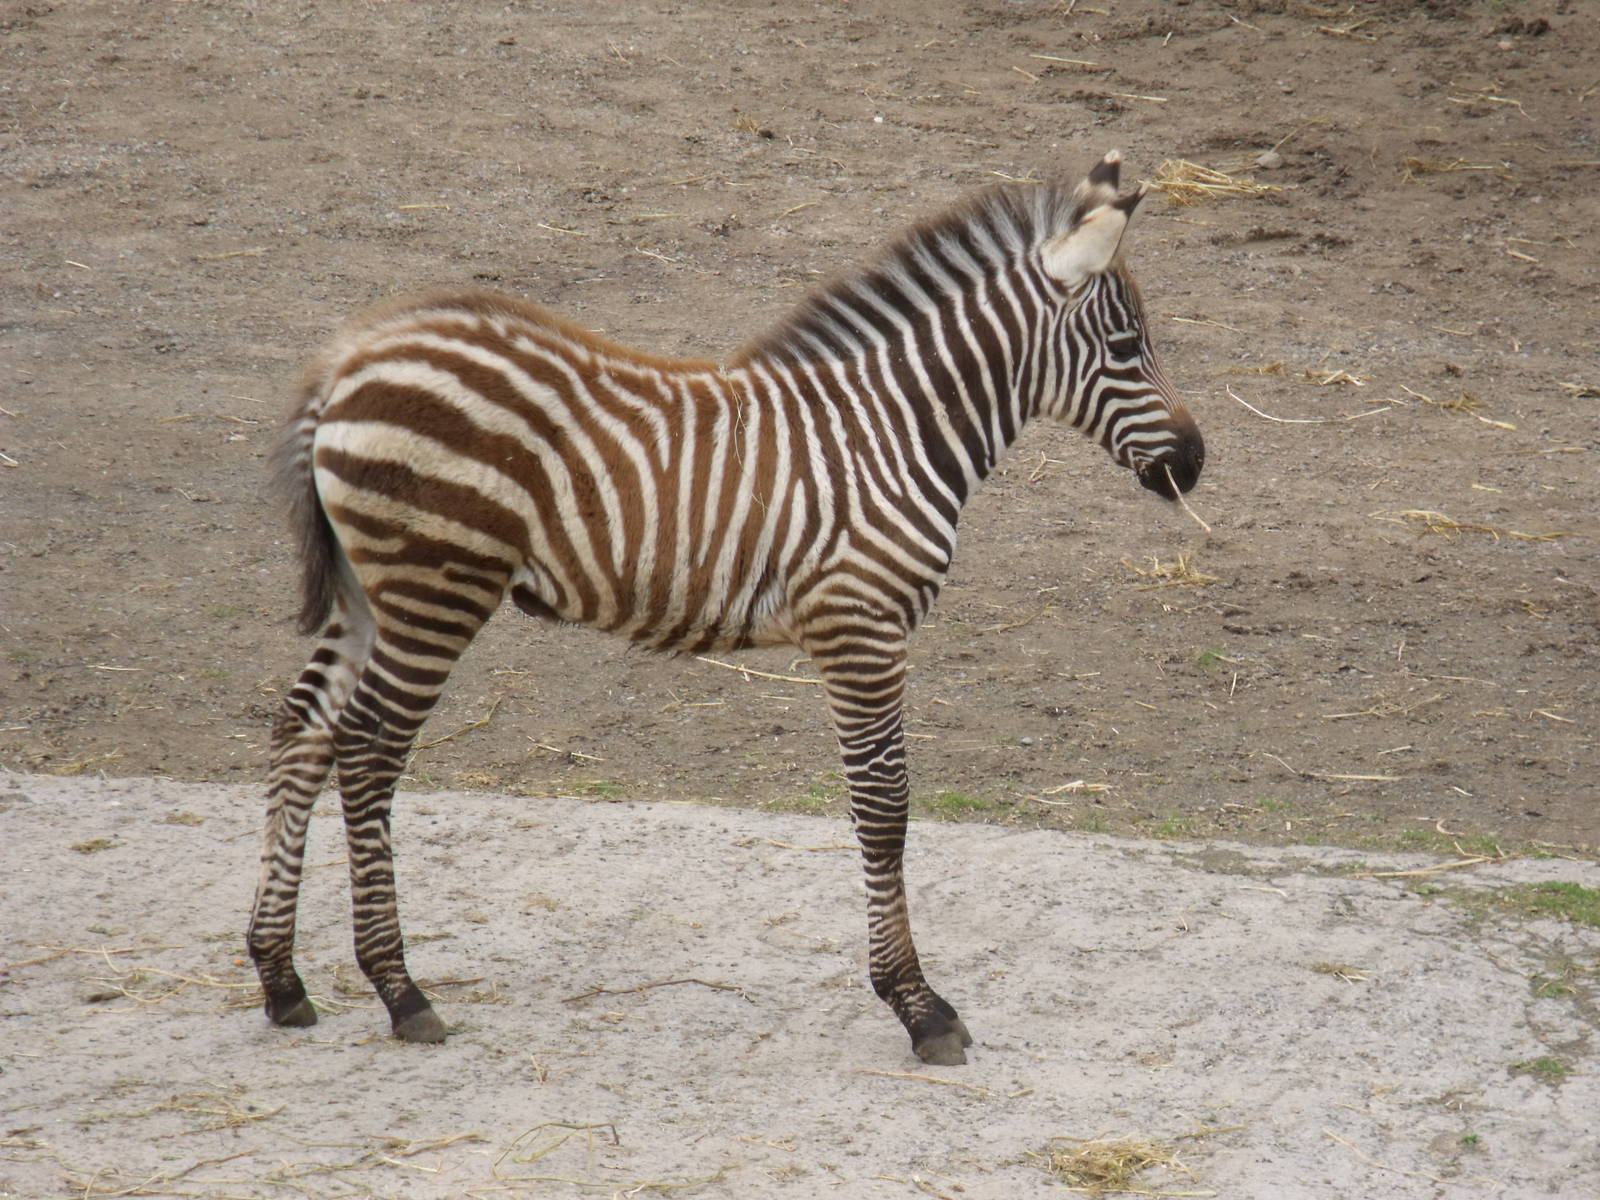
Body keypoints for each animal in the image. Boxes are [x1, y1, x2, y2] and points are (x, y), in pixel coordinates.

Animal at [246, 149, 1204, 1066]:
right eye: (1128, 346)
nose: (1194, 464)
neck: (892, 432)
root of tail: (348, 360)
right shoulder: (858, 624)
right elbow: (885, 806)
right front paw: (918, 1006)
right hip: (435, 587)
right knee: (368, 751)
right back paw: (400, 990)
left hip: (370, 590)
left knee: (304, 728)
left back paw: (281, 978)